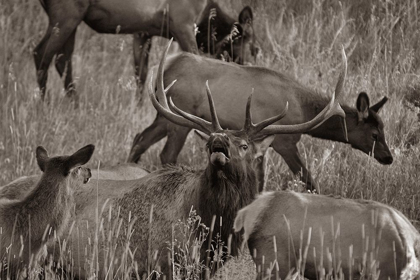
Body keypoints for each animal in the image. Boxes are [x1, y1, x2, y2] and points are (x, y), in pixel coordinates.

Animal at [33, 0, 256, 102]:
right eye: (255, 47)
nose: (251, 66)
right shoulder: (183, 23)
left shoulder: (142, 32)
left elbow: (141, 75)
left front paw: (139, 107)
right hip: (65, 15)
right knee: (40, 53)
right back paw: (44, 103)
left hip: (73, 19)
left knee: (62, 60)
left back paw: (75, 102)